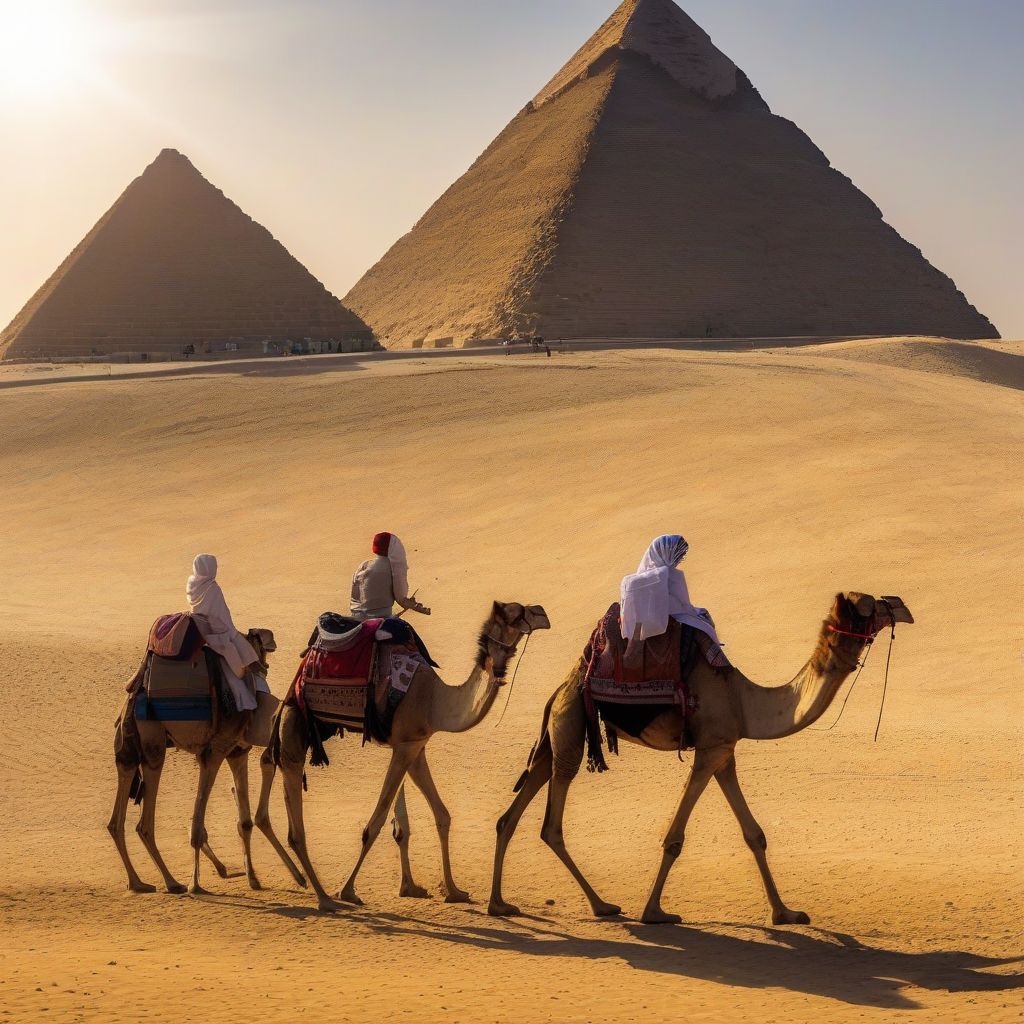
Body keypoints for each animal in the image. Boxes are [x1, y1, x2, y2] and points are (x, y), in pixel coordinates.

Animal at [111, 622, 305, 897]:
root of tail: (136, 690)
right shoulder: (215, 751)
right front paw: (197, 883)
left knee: (117, 816)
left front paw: (254, 878)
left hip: (130, 743)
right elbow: (199, 823)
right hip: (154, 741)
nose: (272, 637)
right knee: (144, 822)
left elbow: (244, 821)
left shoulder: (237, 752)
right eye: (259, 636)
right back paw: (173, 882)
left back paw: (138, 882)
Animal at [268, 598, 548, 913]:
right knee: (295, 819)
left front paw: (450, 890)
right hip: (295, 723)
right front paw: (348, 890)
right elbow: (376, 822)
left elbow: (441, 815)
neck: (435, 701)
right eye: (516, 612)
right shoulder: (404, 746)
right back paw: (326, 898)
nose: (543, 613)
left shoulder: (416, 745)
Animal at [487, 593, 913, 921]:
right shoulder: (708, 751)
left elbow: (754, 835)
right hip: (573, 728)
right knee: (551, 823)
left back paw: (500, 904)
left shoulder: (724, 752)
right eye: (872, 604)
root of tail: (558, 690)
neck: (744, 701)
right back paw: (602, 905)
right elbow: (675, 838)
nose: (902, 606)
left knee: (513, 813)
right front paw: (654, 913)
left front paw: (785, 913)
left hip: (555, 737)